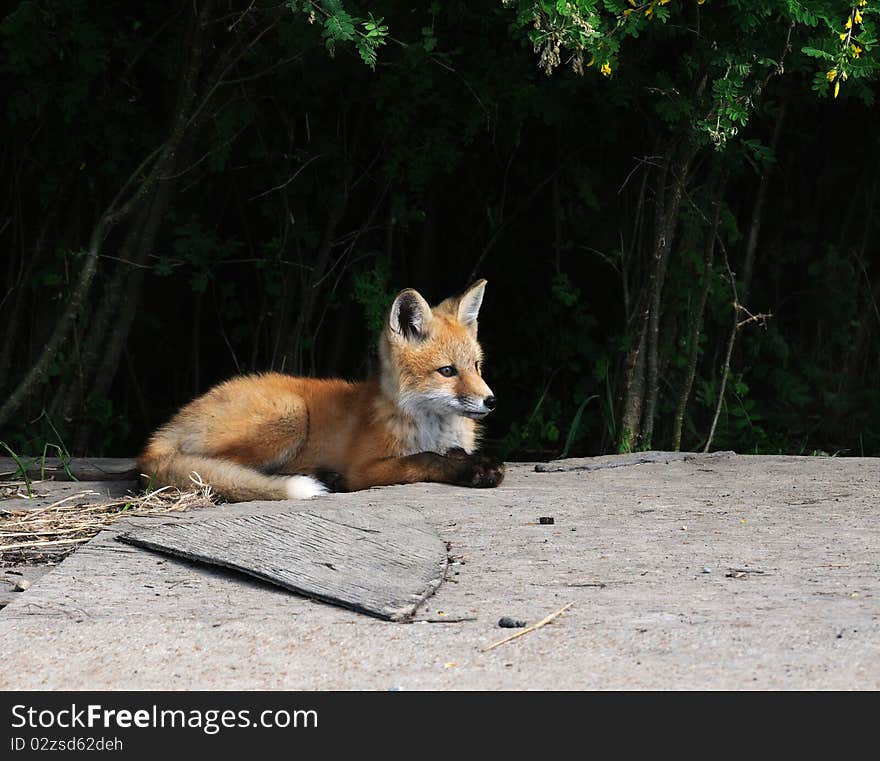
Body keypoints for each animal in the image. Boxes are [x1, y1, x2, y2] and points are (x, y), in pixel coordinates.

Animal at [140, 278, 506, 498]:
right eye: (447, 371)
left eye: (476, 366)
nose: (491, 401)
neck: (430, 427)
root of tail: (156, 441)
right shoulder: (368, 468)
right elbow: (426, 460)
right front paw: (470, 469)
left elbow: (454, 453)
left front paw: (478, 462)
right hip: (290, 415)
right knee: (223, 468)